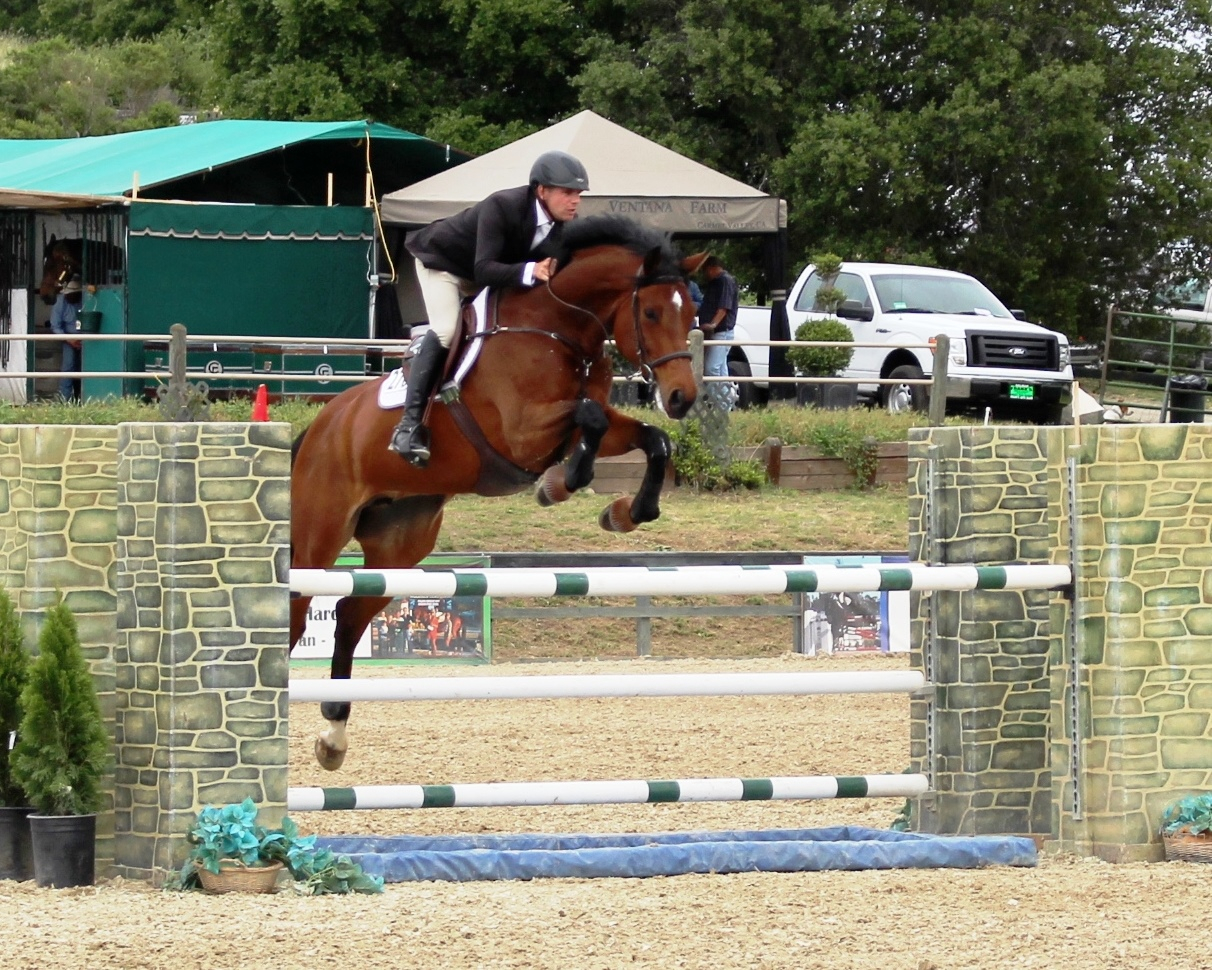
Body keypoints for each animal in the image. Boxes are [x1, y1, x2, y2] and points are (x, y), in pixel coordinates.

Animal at [290, 215, 705, 770]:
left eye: (692, 312)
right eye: (653, 310)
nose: (681, 398)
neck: (560, 326)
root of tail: (318, 427)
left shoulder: (586, 423)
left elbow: (649, 438)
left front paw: (625, 511)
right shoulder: (523, 431)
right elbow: (589, 419)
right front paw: (559, 485)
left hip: (400, 542)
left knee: (349, 615)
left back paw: (333, 734)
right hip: (319, 536)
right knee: (298, 612)